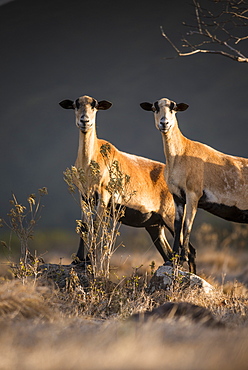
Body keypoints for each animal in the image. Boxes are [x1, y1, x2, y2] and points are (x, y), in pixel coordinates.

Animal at [140, 98, 248, 264]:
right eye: (154, 108)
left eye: (173, 108)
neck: (181, 154)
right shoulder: (177, 196)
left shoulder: (193, 195)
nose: (164, 123)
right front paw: (174, 257)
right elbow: (178, 225)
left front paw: (183, 257)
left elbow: (187, 225)